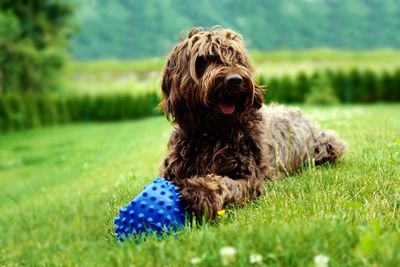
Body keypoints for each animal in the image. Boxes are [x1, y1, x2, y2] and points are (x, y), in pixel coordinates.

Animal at [158, 27, 346, 220]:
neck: (213, 134)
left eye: (237, 58)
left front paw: (201, 191)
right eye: (204, 59)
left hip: (325, 145)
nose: (235, 80)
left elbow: (226, 183)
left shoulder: (250, 178)